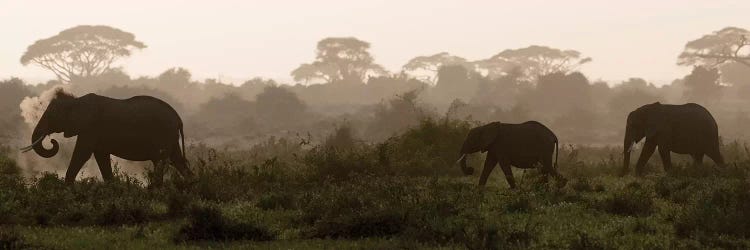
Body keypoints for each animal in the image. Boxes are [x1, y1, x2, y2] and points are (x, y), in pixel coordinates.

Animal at [21, 89, 194, 185]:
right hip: (170, 137)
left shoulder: (90, 127)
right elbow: (101, 156)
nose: (52, 140)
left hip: (163, 133)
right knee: (177, 160)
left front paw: (66, 188)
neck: (77, 100)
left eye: (52, 115)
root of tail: (179, 119)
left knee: (160, 161)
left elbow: (82, 153)